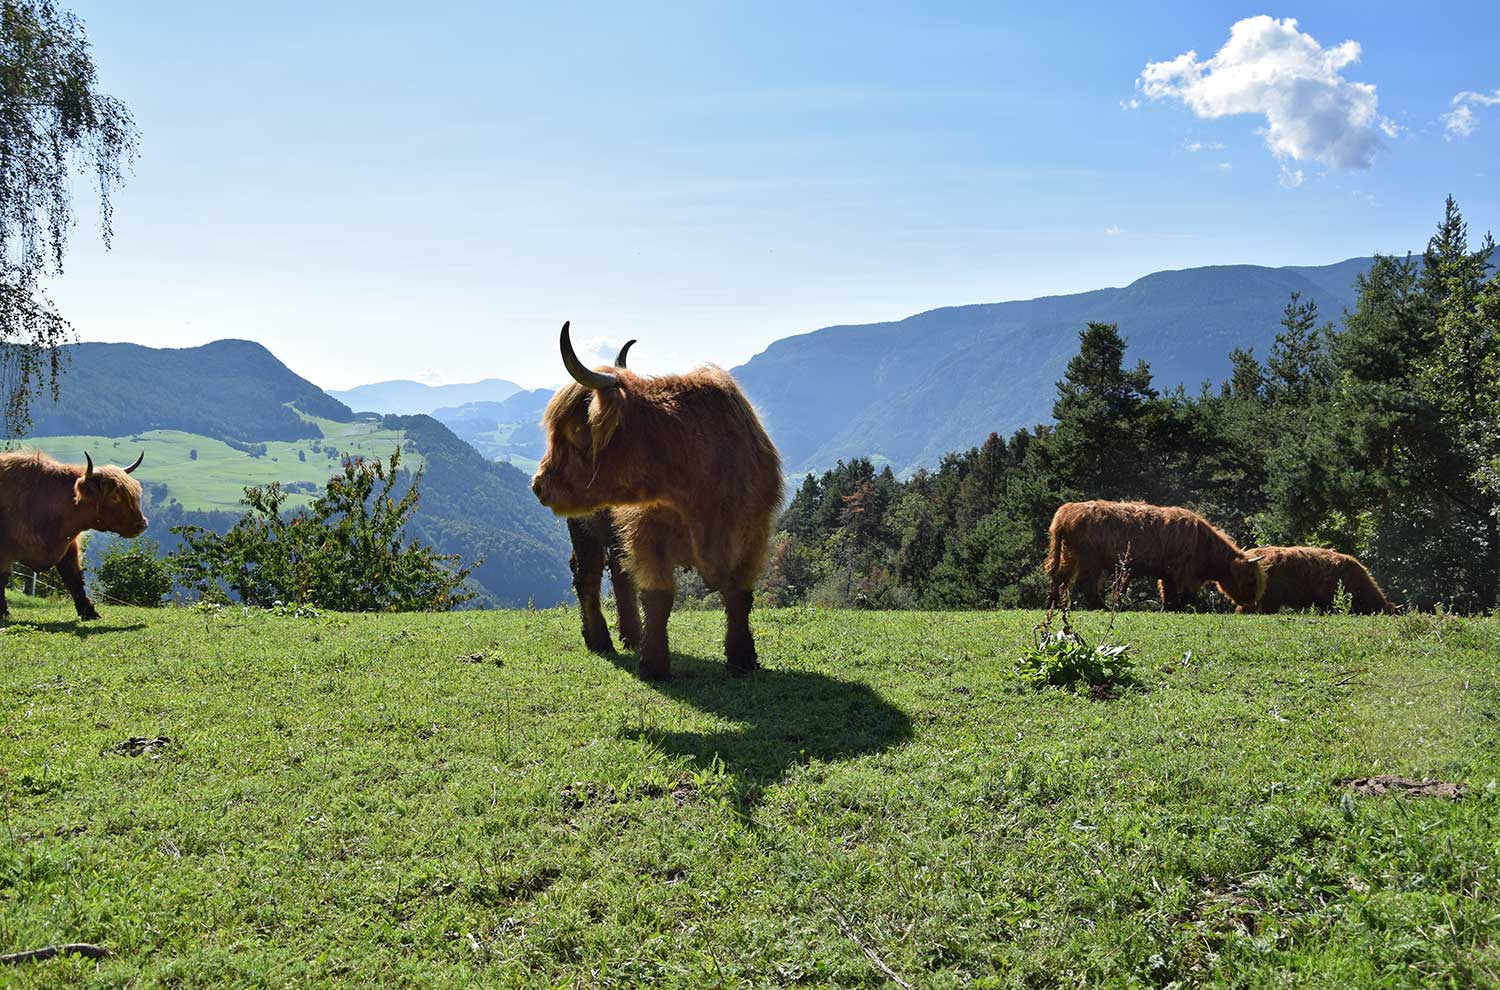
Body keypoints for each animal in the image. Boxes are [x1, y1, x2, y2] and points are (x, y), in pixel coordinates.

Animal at [0, 453, 146, 624]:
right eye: (115, 497)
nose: (142, 524)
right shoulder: (4, 552)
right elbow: (2, 579)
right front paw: (3, 613)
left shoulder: (68, 546)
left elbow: (74, 579)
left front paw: (89, 612)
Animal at [531, 321, 786, 678]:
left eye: (577, 430)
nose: (539, 485)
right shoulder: (648, 536)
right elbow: (658, 597)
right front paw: (654, 664)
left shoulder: (753, 536)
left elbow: (740, 595)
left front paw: (742, 656)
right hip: (584, 528)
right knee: (587, 575)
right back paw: (599, 639)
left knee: (618, 573)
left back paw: (630, 635)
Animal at [1044, 504, 1266, 612]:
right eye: (1251, 580)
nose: (1251, 601)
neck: (1205, 546)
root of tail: (1065, 513)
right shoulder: (1182, 571)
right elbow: (1183, 593)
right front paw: (1177, 607)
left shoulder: (1169, 573)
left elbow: (1168, 591)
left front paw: (1169, 607)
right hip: (1089, 559)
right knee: (1085, 582)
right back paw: (1100, 606)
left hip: (1069, 555)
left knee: (1060, 577)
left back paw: (1054, 603)